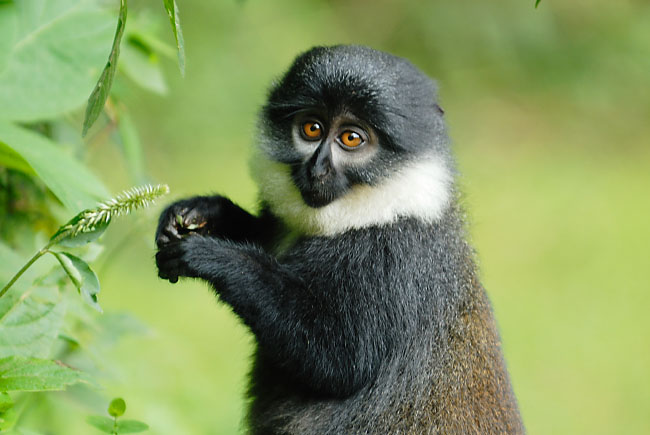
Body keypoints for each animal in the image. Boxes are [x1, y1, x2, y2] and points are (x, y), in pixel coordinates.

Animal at [155, 45, 524, 434]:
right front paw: (202, 211)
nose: (317, 169)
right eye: (312, 128)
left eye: (351, 138)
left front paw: (211, 256)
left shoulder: (393, 259)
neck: (378, 207)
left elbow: (339, 360)